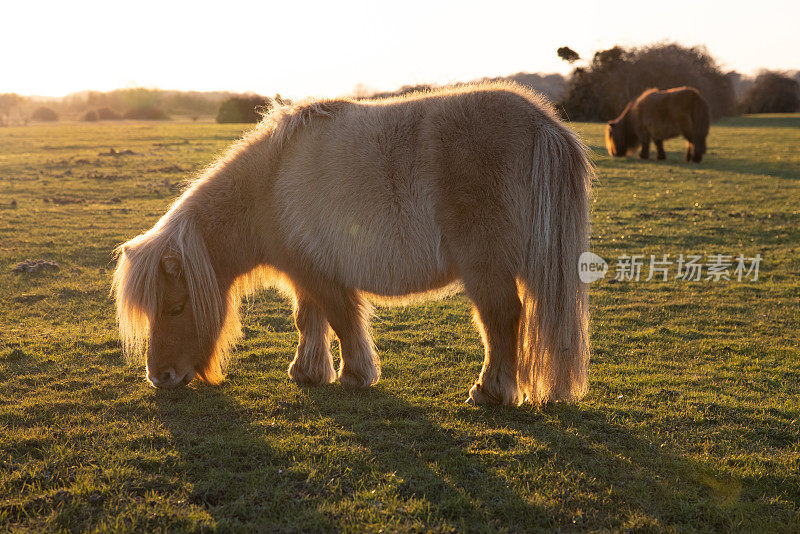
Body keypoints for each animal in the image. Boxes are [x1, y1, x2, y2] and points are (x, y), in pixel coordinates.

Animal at [111, 84, 592, 408]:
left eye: (175, 307)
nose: (160, 377)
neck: (269, 183)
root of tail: (545, 126)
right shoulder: (304, 273)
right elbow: (309, 320)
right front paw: (307, 372)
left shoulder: (325, 277)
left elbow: (341, 321)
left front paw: (355, 376)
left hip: (486, 268)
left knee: (500, 319)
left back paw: (490, 391)